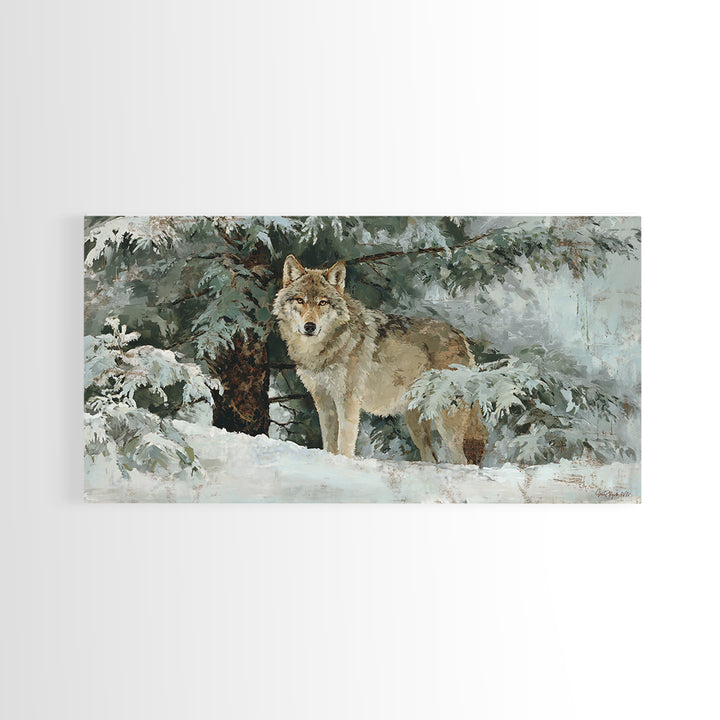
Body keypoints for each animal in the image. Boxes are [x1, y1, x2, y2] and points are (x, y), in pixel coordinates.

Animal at [272, 255, 489, 464]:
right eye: (300, 300)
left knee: (463, 459)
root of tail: (460, 336)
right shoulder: (323, 400)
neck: (324, 349)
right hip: (416, 422)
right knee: (432, 457)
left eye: (322, 302)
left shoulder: (347, 400)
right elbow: (329, 443)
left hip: (448, 419)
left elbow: (344, 443)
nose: (310, 326)